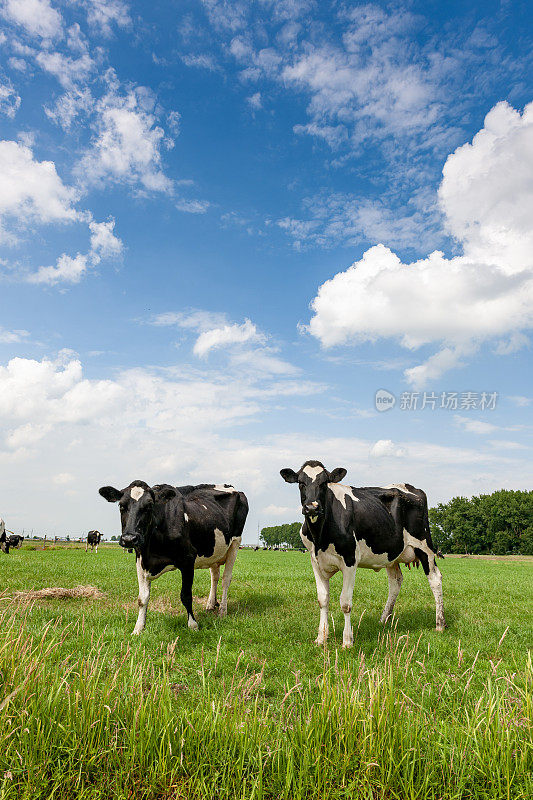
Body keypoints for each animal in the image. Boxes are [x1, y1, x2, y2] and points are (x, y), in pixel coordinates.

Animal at [98, 478, 248, 636]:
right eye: (121, 505)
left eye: (149, 506)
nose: (129, 539)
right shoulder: (141, 561)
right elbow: (142, 598)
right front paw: (138, 629)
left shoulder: (188, 560)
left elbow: (186, 595)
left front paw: (193, 625)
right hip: (214, 550)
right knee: (215, 577)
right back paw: (210, 604)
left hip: (235, 543)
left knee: (226, 579)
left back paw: (222, 611)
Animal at [278, 460, 444, 648]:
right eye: (301, 483)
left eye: (324, 483)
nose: (312, 507)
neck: (320, 537)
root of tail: (412, 488)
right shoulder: (316, 561)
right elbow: (322, 599)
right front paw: (321, 638)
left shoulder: (350, 560)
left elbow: (345, 603)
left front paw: (347, 641)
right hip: (391, 555)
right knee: (395, 582)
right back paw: (384, 619)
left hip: (425, 547)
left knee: (435, 579)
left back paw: (440, 624)